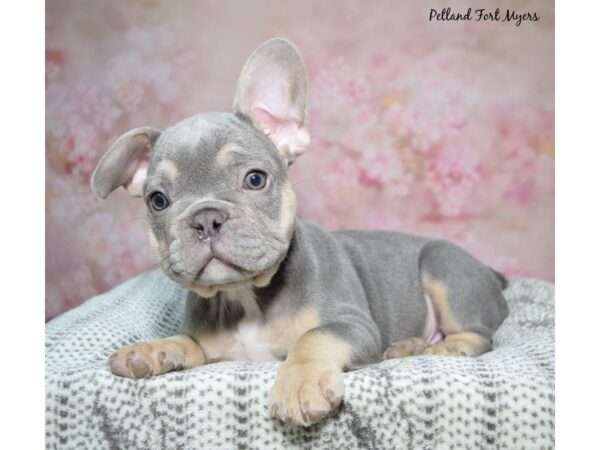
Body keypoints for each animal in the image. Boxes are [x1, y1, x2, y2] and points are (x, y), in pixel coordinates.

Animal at [91, 37, 508, 426]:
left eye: (255, 179)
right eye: (158, 200)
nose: (206, 218)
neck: (244, 296)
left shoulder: (353, 324)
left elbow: (314, 336)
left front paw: (299, 382)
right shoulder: (208, 348)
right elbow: (186, 342)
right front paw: (150, 350)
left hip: (444, 268)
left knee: (479, 334)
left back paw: (445, 347)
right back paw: (408, 346)